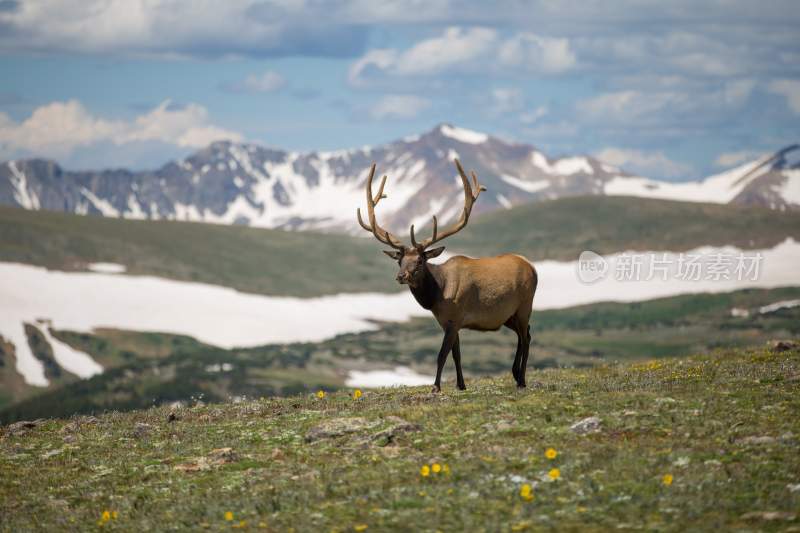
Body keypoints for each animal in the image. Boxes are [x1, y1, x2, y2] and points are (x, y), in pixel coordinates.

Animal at [360, 159, 540, 390]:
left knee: (526, 337)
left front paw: (436, 386)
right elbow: (456, 354)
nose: (401, 276)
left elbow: (442, 354)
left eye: (420, 261)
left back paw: (522, 380)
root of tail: (532, 266)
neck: (438, 295)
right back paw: (516, 374)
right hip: (508, 315)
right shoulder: (448, 322)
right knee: (525, 333)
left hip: (525, 305)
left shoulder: (455, 317)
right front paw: (461, 385)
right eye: (400, 260)